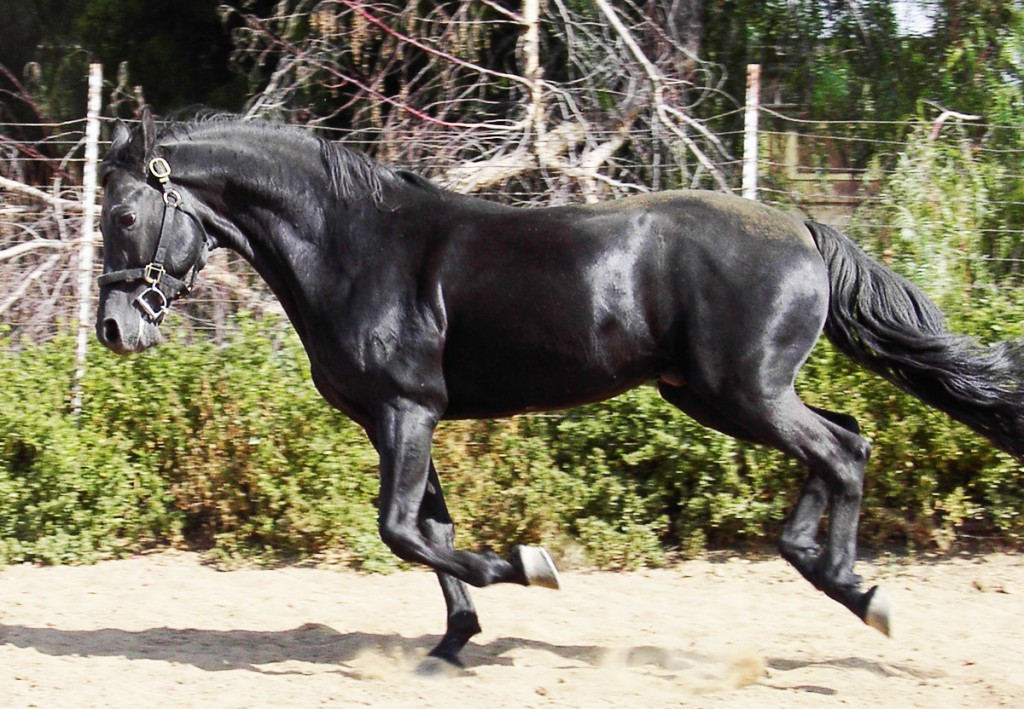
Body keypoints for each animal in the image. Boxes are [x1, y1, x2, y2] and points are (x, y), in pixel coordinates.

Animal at [95, 109, 1024, 665]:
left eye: (124, 215)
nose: (113, 329)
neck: (353, 246)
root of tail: (800, 225)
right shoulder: (398, 418)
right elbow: (428, 528)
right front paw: (453, 643)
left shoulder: (407, 408)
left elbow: (403, 529)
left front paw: (528, 566)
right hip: (717, 393)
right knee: (843, 438)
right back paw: (825, 569)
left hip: (743, 391)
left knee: (842, 447)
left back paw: (858, 589)